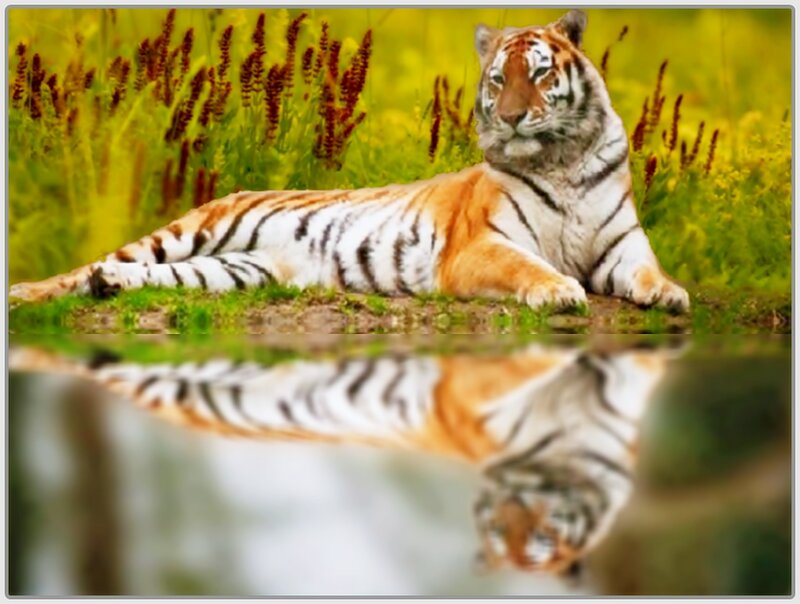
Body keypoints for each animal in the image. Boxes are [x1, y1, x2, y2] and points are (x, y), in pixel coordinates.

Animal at [9, 10, 689, 314]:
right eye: (499, 79)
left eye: (540, 74)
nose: (513, 116)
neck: (562, 160)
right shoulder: (480, 247)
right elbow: (529, 266)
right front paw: (559, 291)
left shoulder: (621, 246)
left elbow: (649, 271)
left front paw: (672, 295)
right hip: (186, 233)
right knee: (90, 266)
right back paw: (28, 291)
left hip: (232, 269)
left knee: (143, 276)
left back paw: (109, 286)